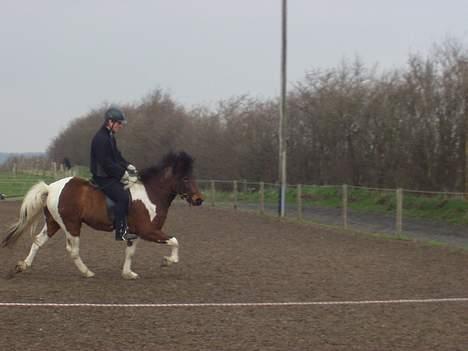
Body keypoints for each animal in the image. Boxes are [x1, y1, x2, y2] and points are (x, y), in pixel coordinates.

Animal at [1, 151, 203, 280]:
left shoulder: (134, 233)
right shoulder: (148, 230)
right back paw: (87, 273)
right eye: (185, 178)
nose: (199, 200)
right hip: (71, 224)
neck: (151, 194)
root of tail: (50, 188)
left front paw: (128, 274)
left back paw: (22, 266)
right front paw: (167, 261)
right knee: (72, 250)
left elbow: (130, 252)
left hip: (53, 223)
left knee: (38, 241)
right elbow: (175, 241)